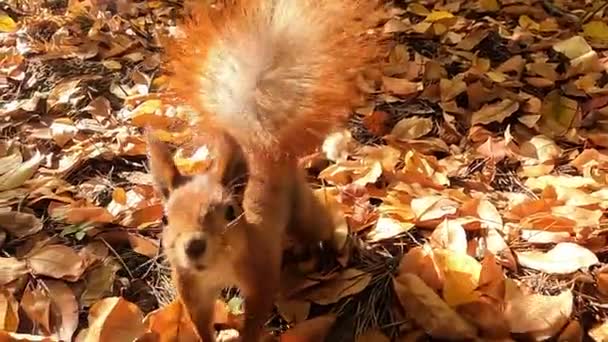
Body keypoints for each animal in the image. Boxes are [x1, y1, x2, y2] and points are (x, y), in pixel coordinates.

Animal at [154, 0, 388, 340]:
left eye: (229, 211)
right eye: (165, 219)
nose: (194, 246)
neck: (218, 267)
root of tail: (262, 145)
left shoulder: (261, 274)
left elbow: (255, 315)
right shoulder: (191, 288)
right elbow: (200, 321)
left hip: (303, 212)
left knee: (319, 228)